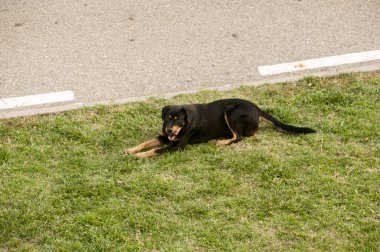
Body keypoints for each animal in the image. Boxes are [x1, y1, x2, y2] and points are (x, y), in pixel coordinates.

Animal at [124, 98, 314, 158]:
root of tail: (257, 108)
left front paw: (139, 156)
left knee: (238, 137)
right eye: (168, 118)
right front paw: (130, 150)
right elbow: (146, 143)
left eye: (178, 119)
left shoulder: (177, 146)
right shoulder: (164, 137)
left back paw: (221, 143)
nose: (170, 130)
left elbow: (154, 150)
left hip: (231, 112)